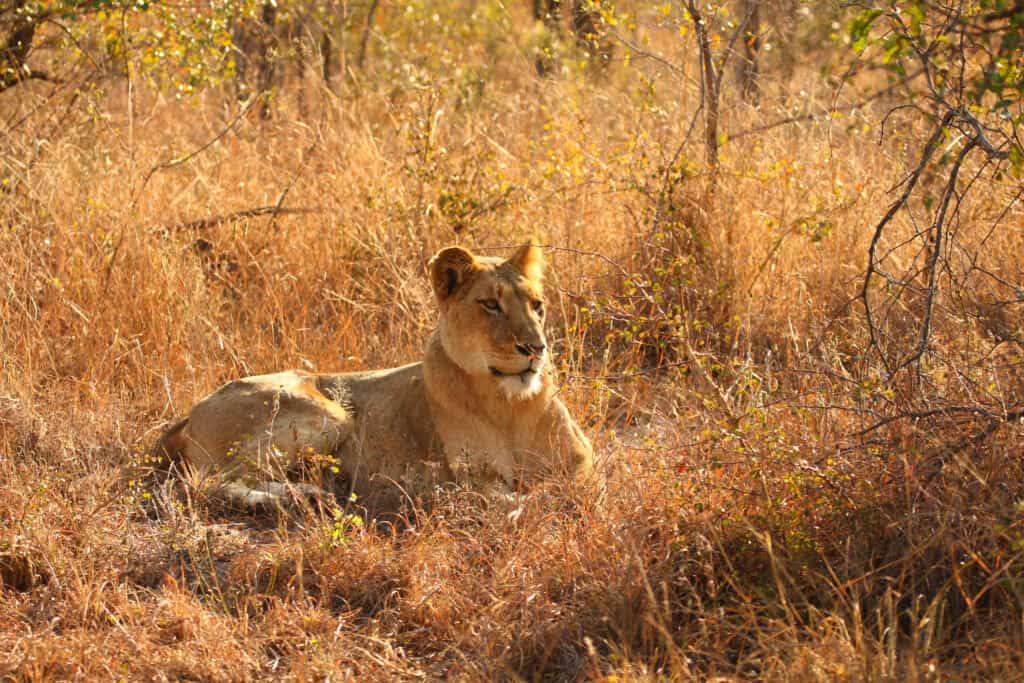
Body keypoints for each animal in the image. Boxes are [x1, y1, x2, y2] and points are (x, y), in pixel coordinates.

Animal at [154, 242, 593, 512]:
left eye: (537, 305)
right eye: (490, 305)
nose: (535, 348)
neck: (507, 405)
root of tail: (193, 411)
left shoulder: (583, 461)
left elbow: (568, 485)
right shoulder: (470, 477)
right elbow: (507, 498)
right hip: (328, 414)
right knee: (202, 482)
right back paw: (293, 498)